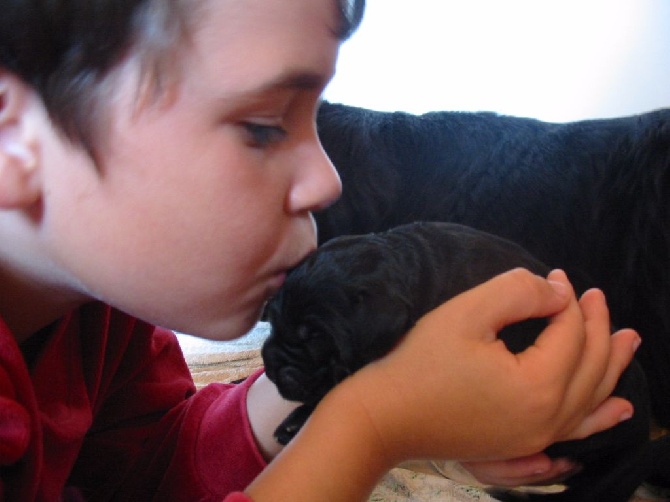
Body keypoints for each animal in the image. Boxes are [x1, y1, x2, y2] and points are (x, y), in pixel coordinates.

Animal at [266, 222, 652, 502]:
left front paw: (300, 419)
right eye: (272, 320)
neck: (408, 267)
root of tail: (639, 441)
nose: (271, 363)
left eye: (316, 339)